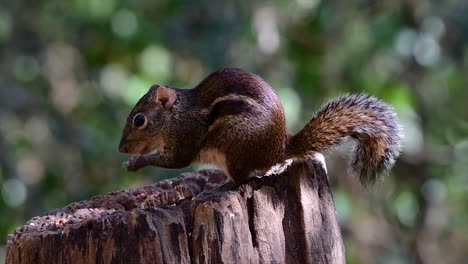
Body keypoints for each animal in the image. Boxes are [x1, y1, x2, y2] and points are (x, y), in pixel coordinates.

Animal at [119, 68, 400, 188]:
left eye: (139, 120)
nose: (122, 148)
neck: (176, 116)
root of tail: (279, 149)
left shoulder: (184, 139)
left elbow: (173, 161)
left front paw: (134, 163)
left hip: (234, 146)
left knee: (244, 179)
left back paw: (219, 188)